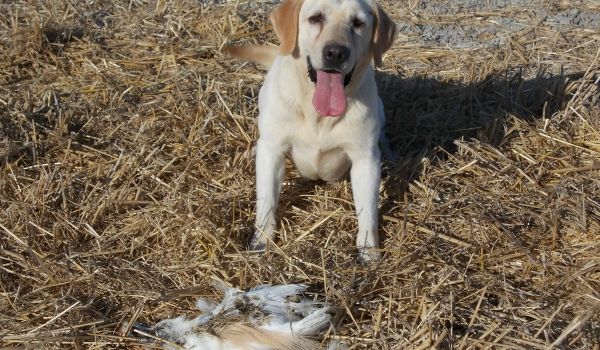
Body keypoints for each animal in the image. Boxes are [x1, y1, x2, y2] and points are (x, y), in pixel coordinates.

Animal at [227, 0, 396, 262]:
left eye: (358, 23)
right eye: (316, 18)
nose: (335, 53)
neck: (318, 115)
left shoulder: (365, 160)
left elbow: (368, 211)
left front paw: (369, 253)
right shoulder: (273, 151)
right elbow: (266, 201)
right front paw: (261, 243)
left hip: (379, 108)